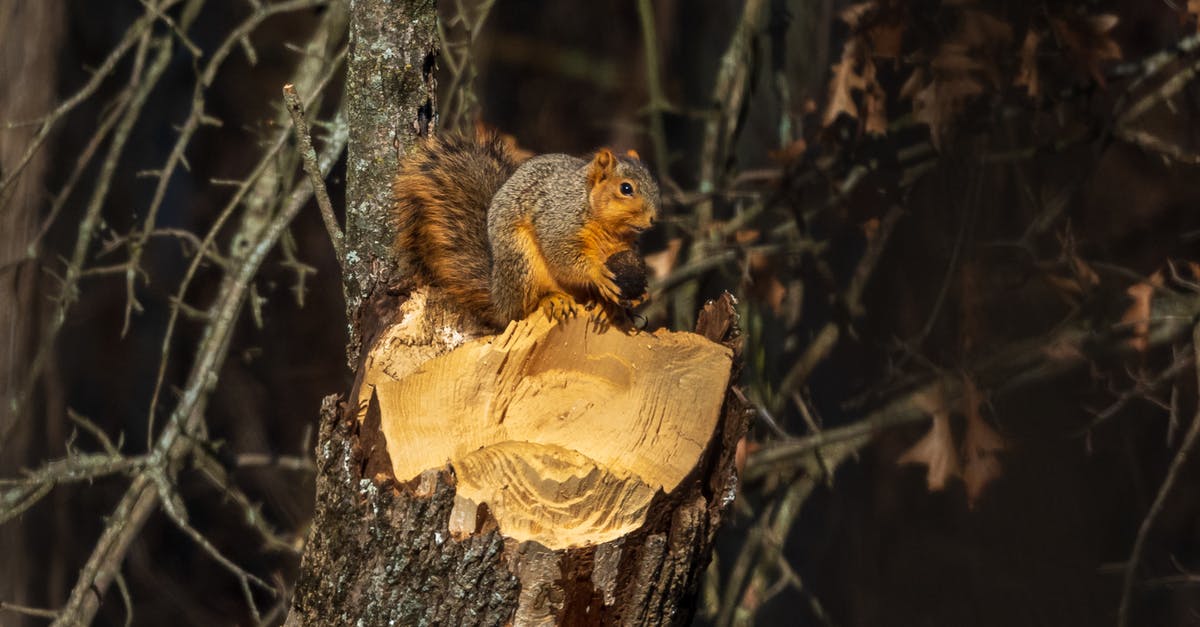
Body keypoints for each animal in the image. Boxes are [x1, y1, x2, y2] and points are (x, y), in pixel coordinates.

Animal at [393, 131, 662, 326]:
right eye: (626, 188)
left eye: (655, 186)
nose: (653, 220)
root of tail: (500, 298)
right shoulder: (557, 221)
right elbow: (563, 257)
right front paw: (598, 274)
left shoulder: (622, 246)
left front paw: (637, 296)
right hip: (522, 260)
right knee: (522, 310)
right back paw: (551, 299)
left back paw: (604, 307)